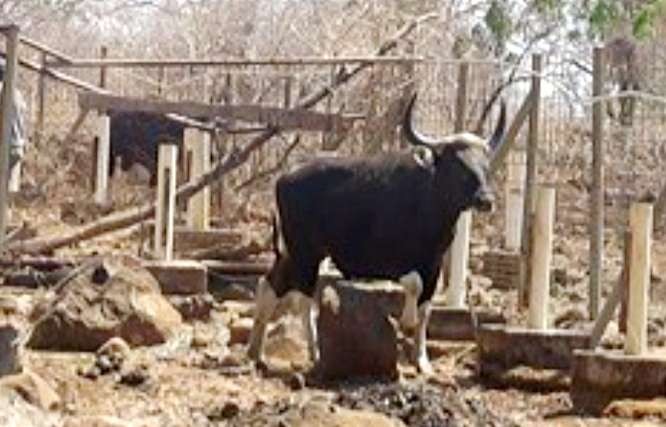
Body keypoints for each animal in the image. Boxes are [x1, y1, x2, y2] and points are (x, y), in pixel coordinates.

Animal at [246, 93, 506, 374]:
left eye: (485, 164)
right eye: (458, 165)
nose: (486, 200)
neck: (428, 204)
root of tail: (284, 178)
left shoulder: (434, 264)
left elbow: (426, 308)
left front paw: (422, 359)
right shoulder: (390, 260)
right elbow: (413, 285)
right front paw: (405, 322)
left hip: (294, 253)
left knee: (268, 285)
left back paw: (255, 352)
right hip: (306, 254)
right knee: (303, 300)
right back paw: (313, 353)